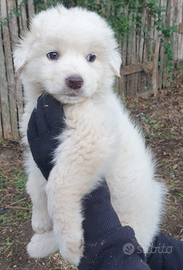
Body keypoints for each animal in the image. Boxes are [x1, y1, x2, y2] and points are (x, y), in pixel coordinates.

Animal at [13, 4, 166, 266]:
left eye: (91, 58)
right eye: (52, 55)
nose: (75, 81)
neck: (66, 106)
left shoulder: (89, 140)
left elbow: (58, 184)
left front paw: (70, 241)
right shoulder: (35, 140)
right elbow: (35, 181)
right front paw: (40, 219)